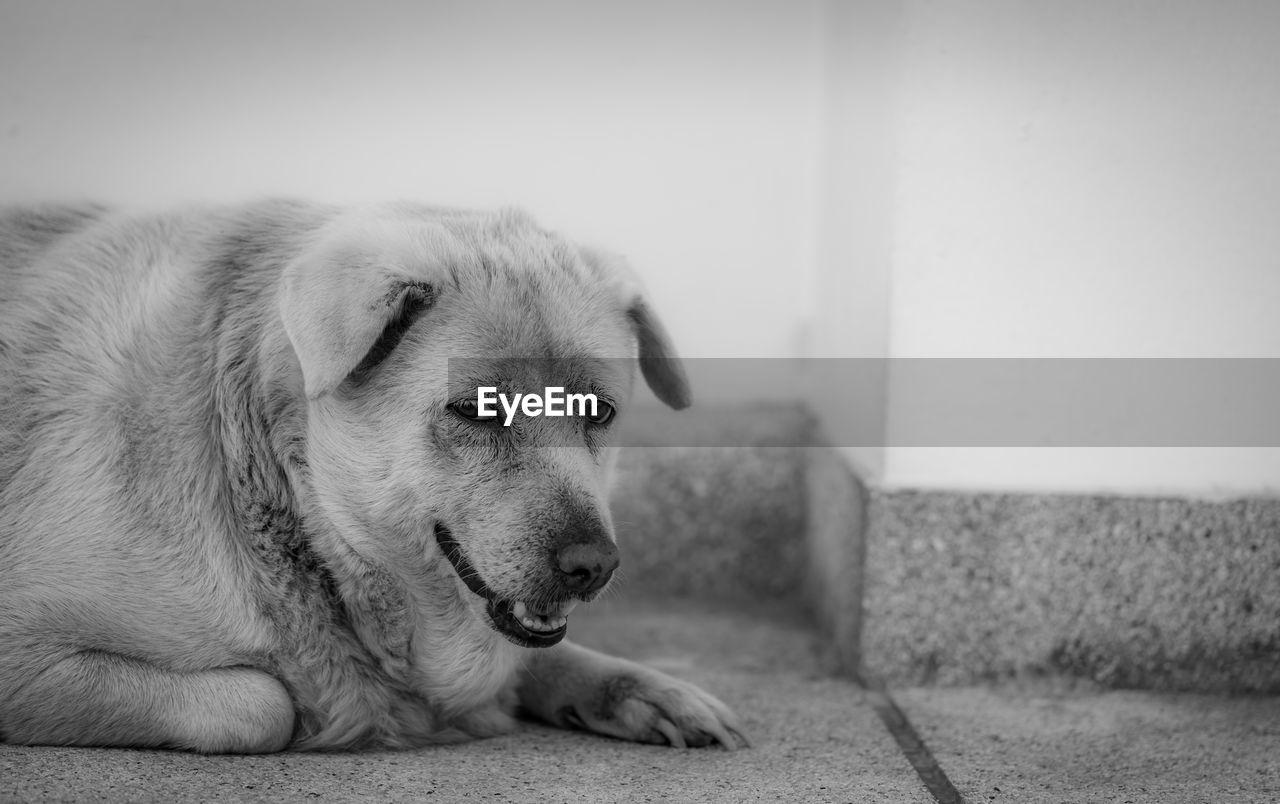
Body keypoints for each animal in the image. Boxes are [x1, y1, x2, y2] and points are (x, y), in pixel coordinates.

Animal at [0, 200, 747, 752]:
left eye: (600, 412)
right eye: (478, 409)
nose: (594, 565)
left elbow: (539, 657)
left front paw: (647, 690)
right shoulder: (21, 646)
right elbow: (262, 704)